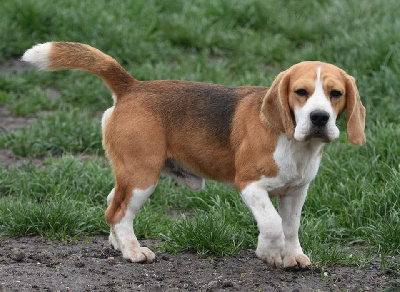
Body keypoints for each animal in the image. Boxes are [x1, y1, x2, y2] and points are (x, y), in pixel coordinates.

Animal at [21, 42, 366, 268]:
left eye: (335, 94)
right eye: (301, 93)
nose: (320, 118)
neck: (294, 143)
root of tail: (132, 87)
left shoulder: (296, 191)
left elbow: (290, 226)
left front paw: (292, 255)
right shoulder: (250, 185)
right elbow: (271, 223)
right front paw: (269, 253)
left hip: (132, 174)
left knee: (112, 202)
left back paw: (117, 244)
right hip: (142, 175)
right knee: (117, 213)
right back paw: (133, 251)